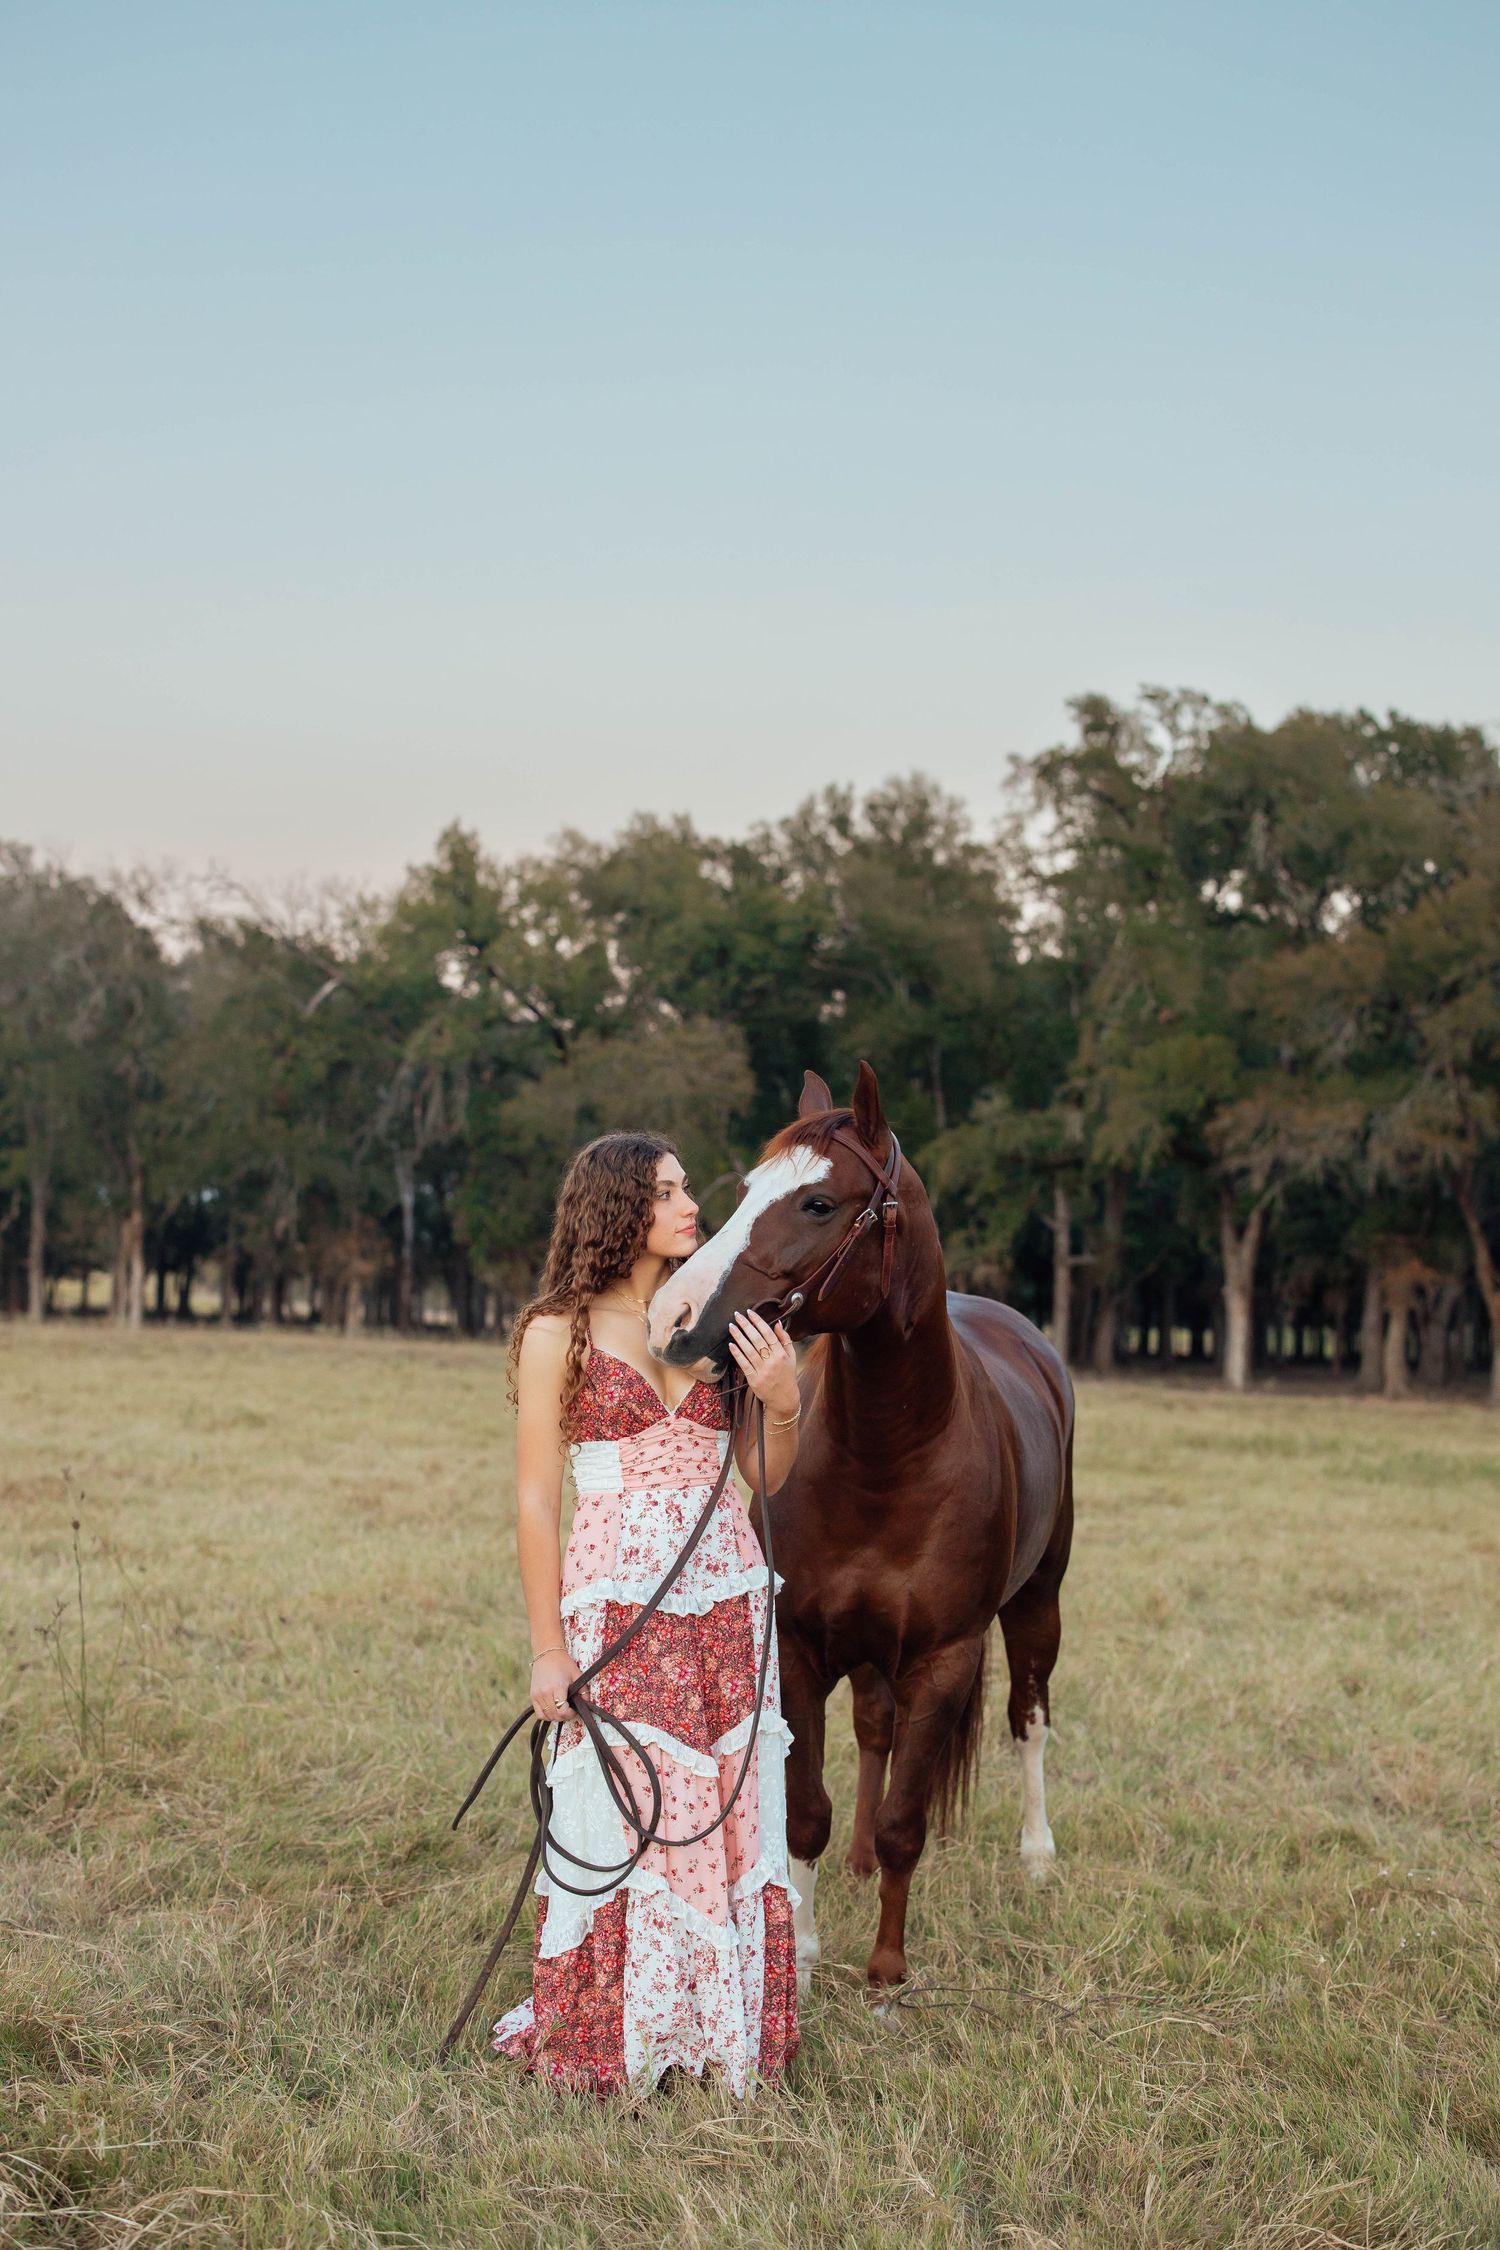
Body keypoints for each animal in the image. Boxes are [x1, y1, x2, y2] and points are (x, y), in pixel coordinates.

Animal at [645, 1062, 1075, 2000]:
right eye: (743, 1192)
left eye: (817, 1203)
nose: (672, 1319)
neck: (889, 1453)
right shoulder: (803, 1645)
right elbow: (805, 1811)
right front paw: (802, 1960)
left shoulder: (945, 1658)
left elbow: (908, 1824)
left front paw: (886, 1972)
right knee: (875, 1731)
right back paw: (855, 1862)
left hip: (1038, 1603)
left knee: (1028, 1718)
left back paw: (1037, 1856)